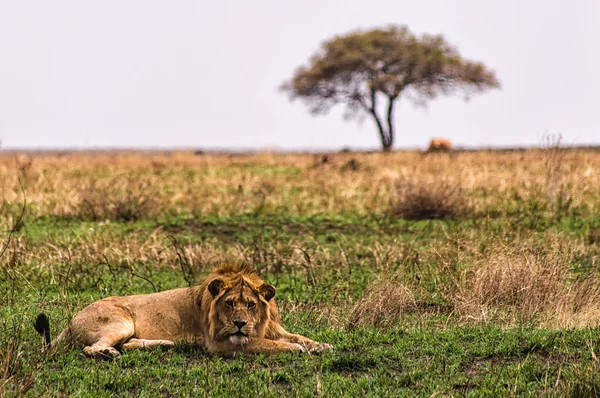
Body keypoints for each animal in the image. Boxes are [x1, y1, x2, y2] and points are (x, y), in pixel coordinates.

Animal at [34, 264, 332, 358]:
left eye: (251, 304)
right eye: (229, 303)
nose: (239, 323)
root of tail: (70, 322)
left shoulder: (271, 328)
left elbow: (297, 336)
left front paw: (322, 345)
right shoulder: (219, 343)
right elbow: (266, 344)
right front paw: (295, 350)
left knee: (127, 344)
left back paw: (165, 344)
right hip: (121, 322)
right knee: (92, 347)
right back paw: (108, 353)